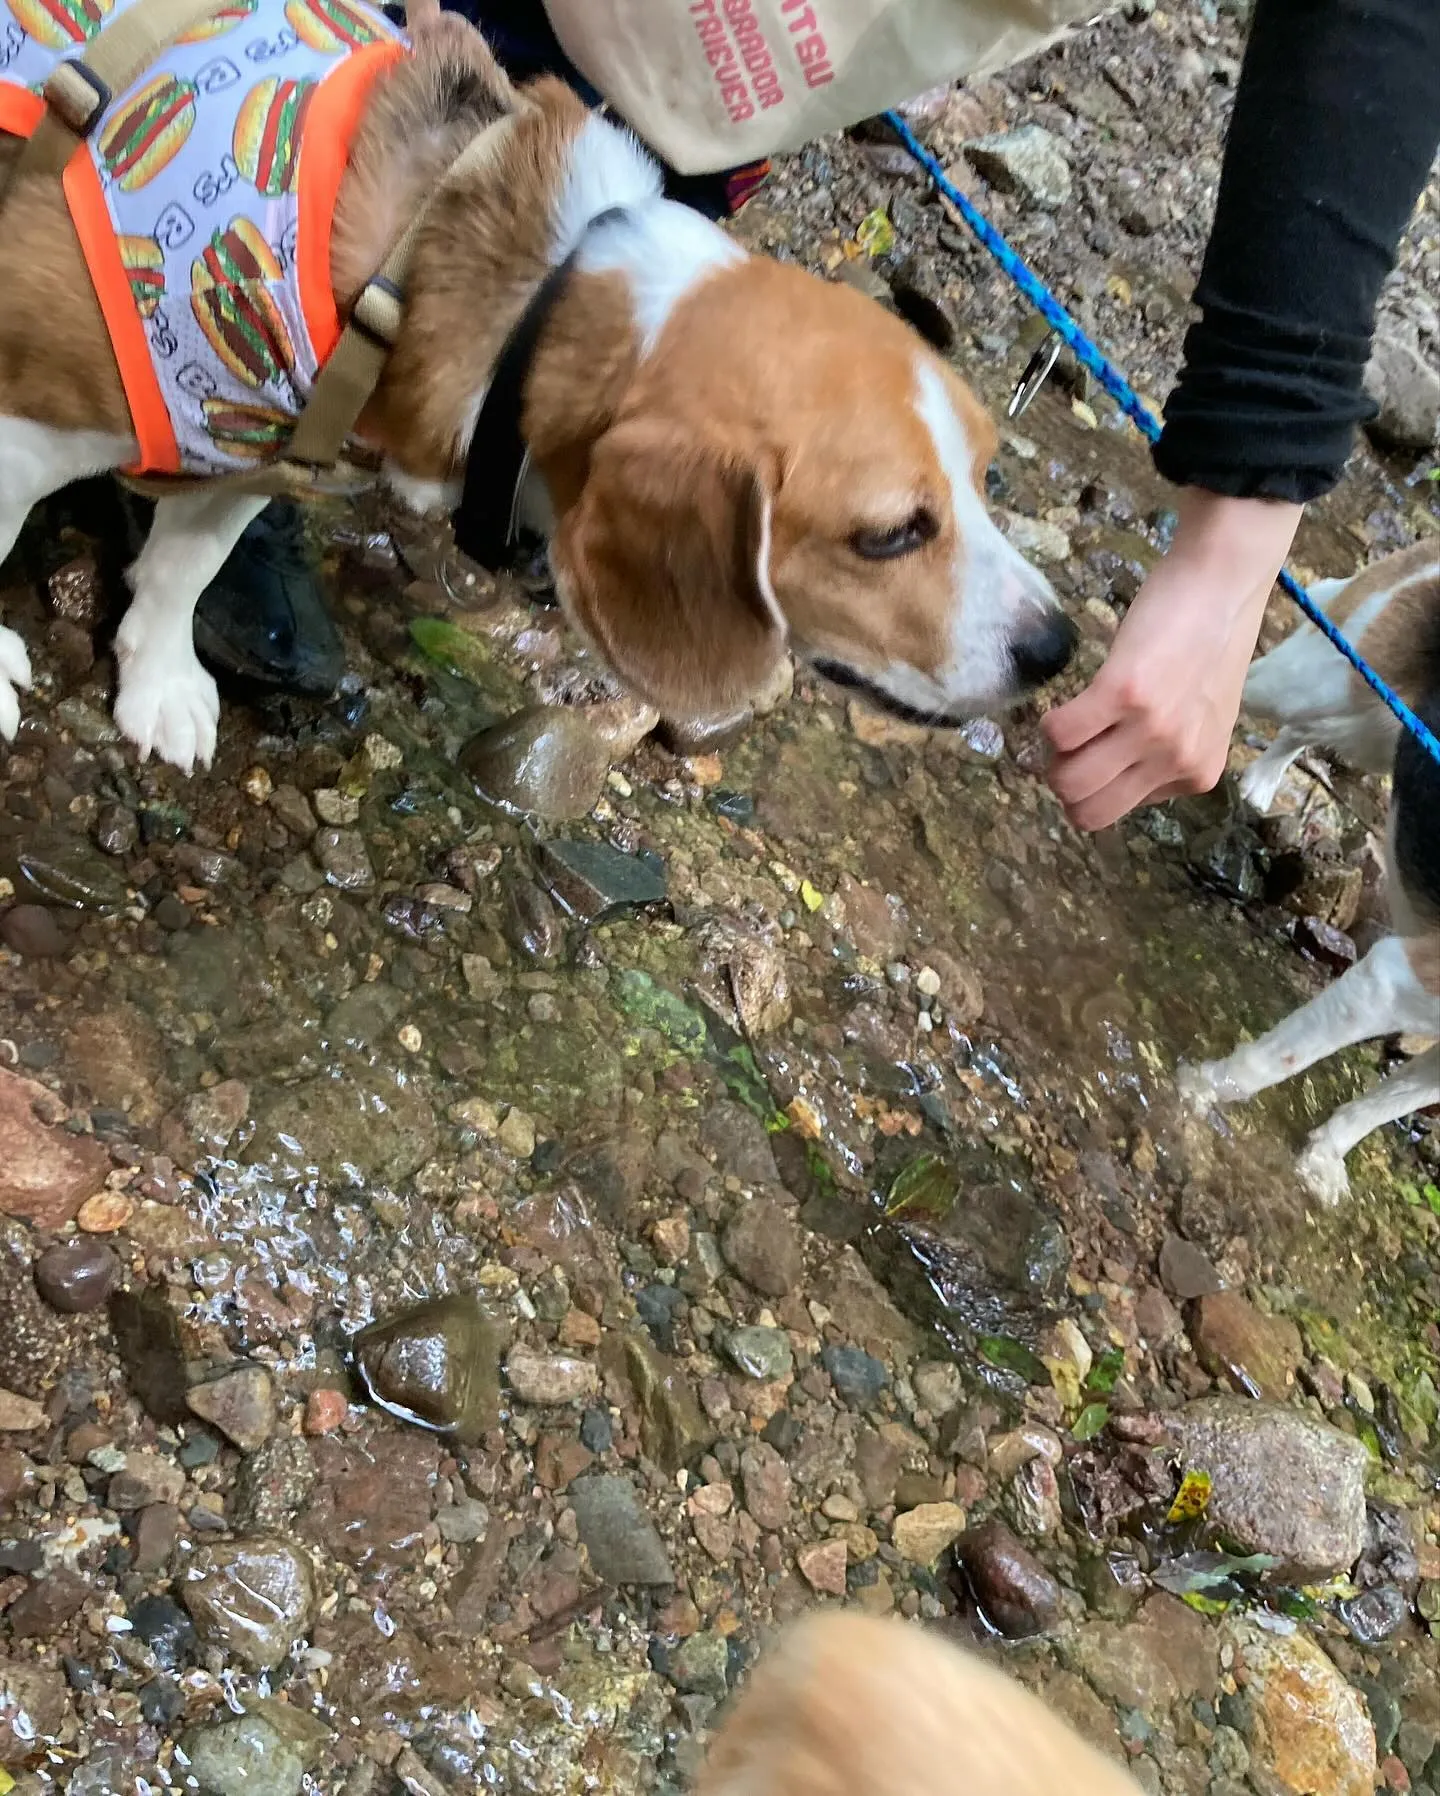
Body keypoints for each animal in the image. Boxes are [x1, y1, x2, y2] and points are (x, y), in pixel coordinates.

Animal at [0, 0, 1070, 765]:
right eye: (888, 534)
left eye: (984, 477)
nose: (1057, 648)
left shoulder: (250, 445)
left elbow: (187, 564)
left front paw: (159, 682)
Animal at [1177, 535, 1436, 1206]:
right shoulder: (1392, 980)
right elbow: (1276, 1062)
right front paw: (1206, 1089)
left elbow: (1379, 1108)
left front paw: (1324, 1158)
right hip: (1326, 679)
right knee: (1237, 685)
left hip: (1371, 730)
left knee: (1298, 732)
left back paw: (1263, 783)